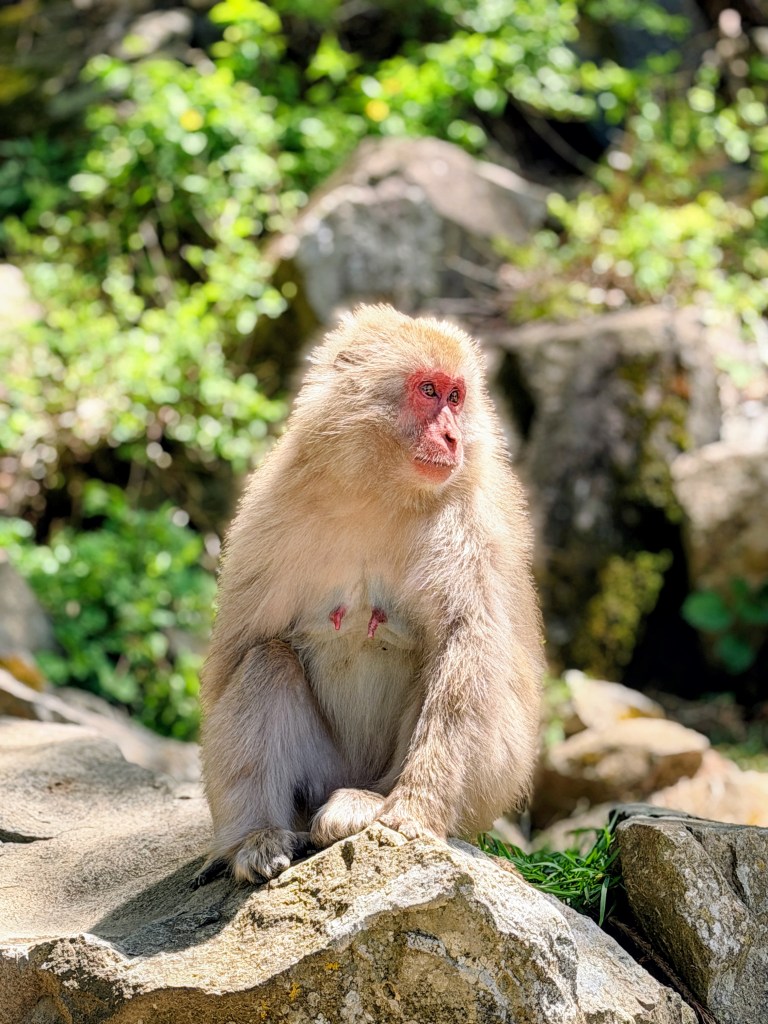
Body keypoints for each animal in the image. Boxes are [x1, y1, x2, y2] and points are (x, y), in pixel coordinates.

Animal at [197, 304, 544, 885]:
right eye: (428, 390)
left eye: (456, 397)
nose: (453, 438)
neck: (378, 492)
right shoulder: (272, 510)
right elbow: (233, 656)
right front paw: (240, 842)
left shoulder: (470, 526)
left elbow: (467, 651)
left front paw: (415, 811)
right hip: (323, 771)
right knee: (266, 659)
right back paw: (266, 834)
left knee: (445, 666)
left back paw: (368, 804)